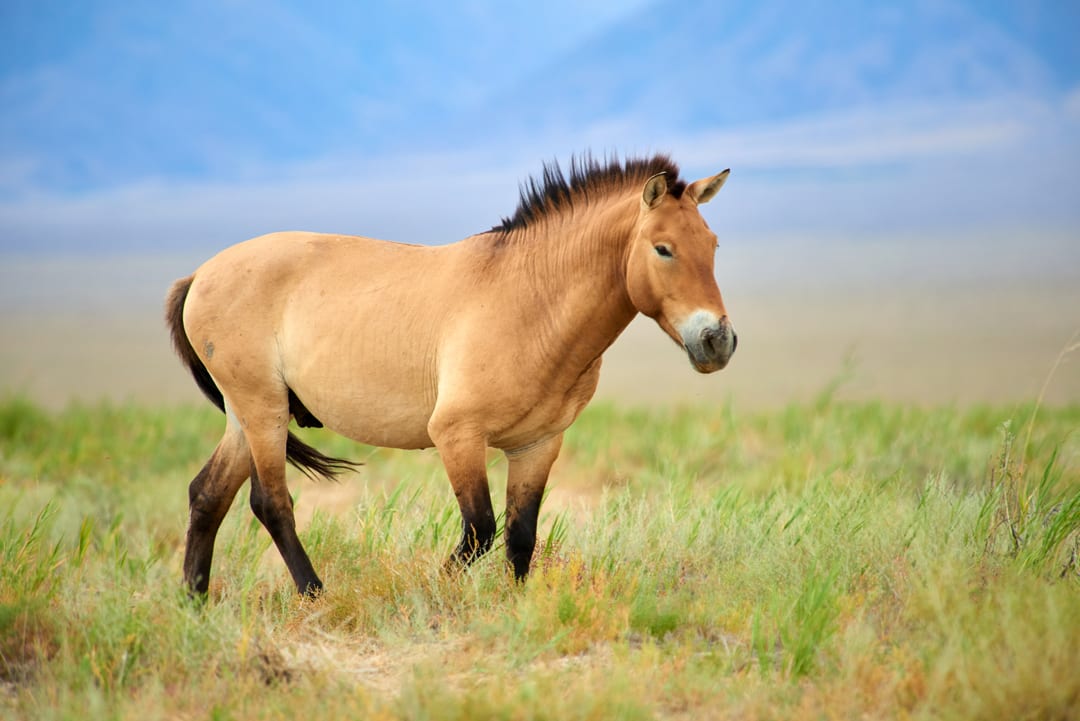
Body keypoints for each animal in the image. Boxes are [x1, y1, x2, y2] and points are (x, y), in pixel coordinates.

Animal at [166, 156, 734, 595]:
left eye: (713, 244)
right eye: (663, 248)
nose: (717, 340)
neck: (529, 300)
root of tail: (200, 274)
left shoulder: (537, 445)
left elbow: (520, 535)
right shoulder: (458, 436)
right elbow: (480, 530)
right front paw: (431, 593)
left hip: (247, 415)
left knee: (206, 495)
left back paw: (195, 602)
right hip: (263, 410)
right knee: (271, 502)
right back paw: (314, 594)